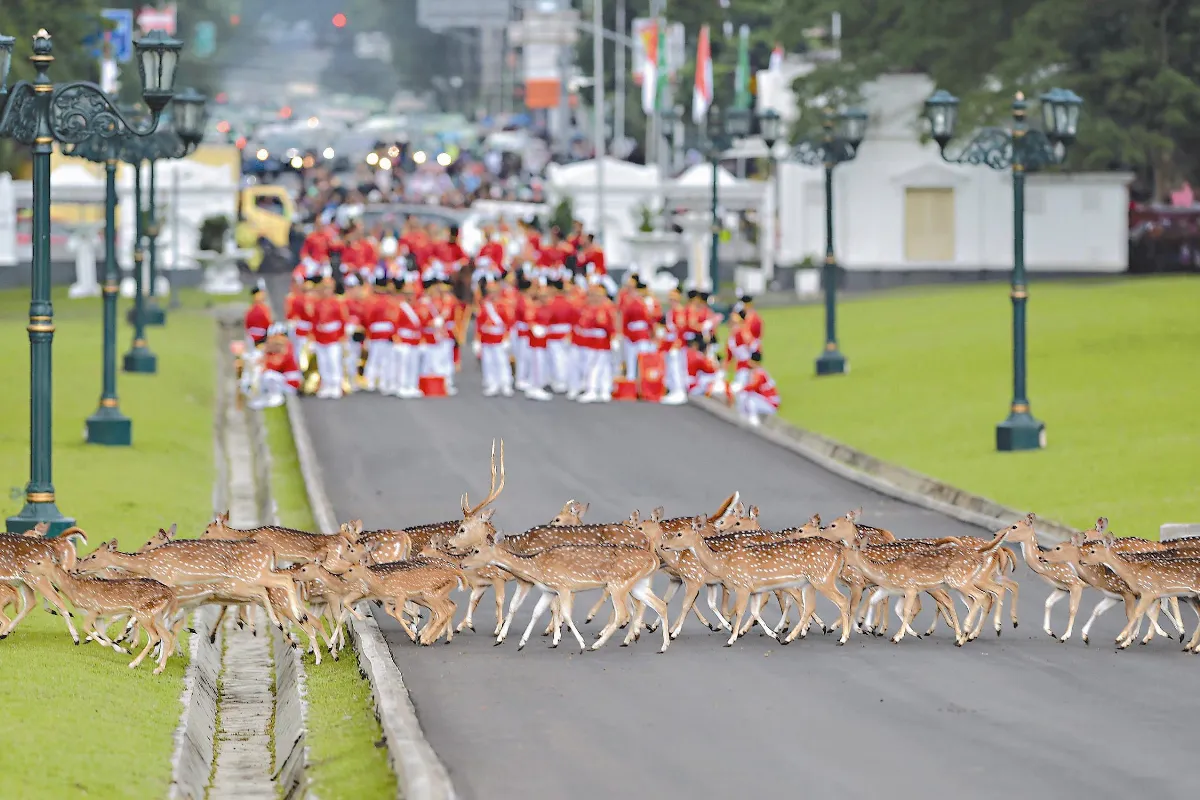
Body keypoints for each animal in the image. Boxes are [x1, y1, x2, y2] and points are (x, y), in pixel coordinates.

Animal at [24, 558, 177, 673]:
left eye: (38, 562)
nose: (25, 568)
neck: (74, 591)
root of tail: (170, 593)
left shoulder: (94, 609)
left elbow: (86, 627)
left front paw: (101, 643)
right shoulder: (100, 616)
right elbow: (102, 632)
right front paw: (122, 649)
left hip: (144, 613)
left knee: (155, 636)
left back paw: (134, 664)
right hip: (157, 616)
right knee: (166, 636)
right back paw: (159, 669)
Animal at [461, 539, 671, 654]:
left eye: (476, 550)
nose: (463, 563)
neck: (536, 567)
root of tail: (653, 558)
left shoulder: (563, 586)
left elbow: (567, 615)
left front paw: (581, 645)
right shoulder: (549, 589)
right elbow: (536, 612)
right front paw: (521, 643)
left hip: (617, 583)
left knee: (623, 613)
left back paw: (596, 645)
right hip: (638, 585)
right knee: (660, 604)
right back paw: (663, 646)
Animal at [658, 515, 852, 647]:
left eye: (679, 533)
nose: (663, 545)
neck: (722, 563)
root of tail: (840, 552)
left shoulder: (741, 585)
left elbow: (740, 610)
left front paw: (731, 638)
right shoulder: (754, 589)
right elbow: (754, 610)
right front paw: (770, 634)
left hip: (820, 579)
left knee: (842, 600)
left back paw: (842, 638)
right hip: (808, 583)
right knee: (809, 606)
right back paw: (792, 636)